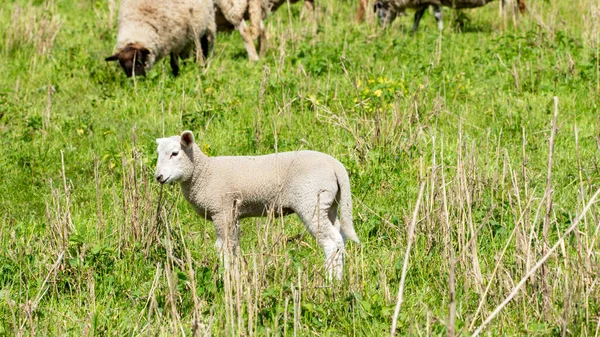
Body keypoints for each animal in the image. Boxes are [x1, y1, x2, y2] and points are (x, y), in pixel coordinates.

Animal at [156, 130, 360, 280]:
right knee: (340, 237)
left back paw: (331, 281)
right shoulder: (233, 213)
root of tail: (336, 166)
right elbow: (234, 245)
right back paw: (339, 280)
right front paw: (236, 274)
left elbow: (223, 247)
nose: (158, 177)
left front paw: (226, 277)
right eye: (158, 155)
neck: (204, 172)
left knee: (331, 242)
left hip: (311, 202)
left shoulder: (221, 211)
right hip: (329, 204)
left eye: (175, 153)